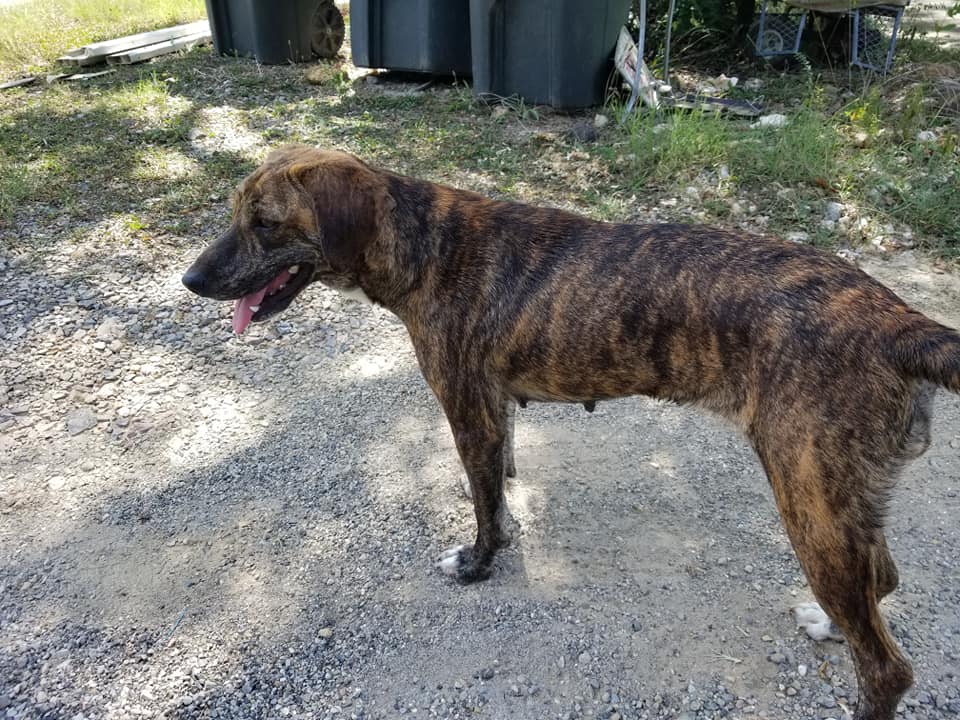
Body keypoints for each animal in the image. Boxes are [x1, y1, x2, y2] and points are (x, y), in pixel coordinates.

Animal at [182, 145, 960, 720]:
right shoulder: (496, 411)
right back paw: (829, 625)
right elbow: (498, 485)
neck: (427, 243)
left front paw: (479, 563)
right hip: (841, 502)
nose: (189, 280)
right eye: (237, 215)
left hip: (811, 501)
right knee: (881, 583)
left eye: (266, 223)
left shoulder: (467, 410)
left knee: (886, 668)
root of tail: (900, 325)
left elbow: (484, 509)